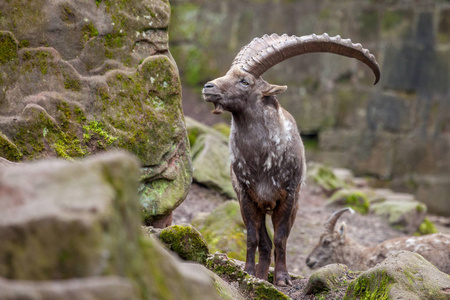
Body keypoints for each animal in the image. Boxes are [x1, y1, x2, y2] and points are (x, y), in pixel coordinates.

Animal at [203, 33, 380, 286]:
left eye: (245, 81)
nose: (208, 87)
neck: (260, 162)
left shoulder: (287, 196)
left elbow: (281, 238)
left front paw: (283, 278)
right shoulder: (246, 196)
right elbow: (252, 237)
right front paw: (248, 273)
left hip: (293, 204)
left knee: (275, 240)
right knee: (263, 241)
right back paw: (260, 276)